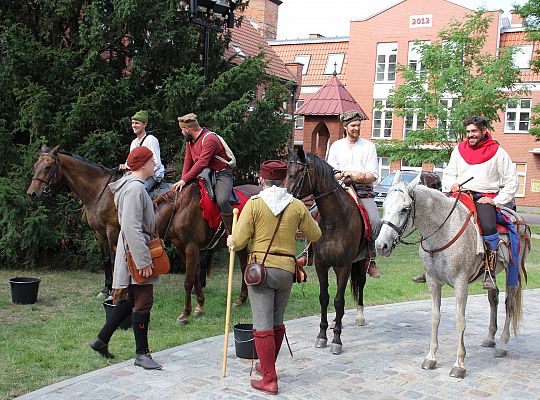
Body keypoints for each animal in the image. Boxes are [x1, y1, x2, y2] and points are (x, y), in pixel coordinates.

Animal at [26, 145, 120, 296]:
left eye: (48, 166)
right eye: (35, 165)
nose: (31, 193)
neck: (101, 191)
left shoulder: (112, 230)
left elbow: (114, 259)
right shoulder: (100, 232)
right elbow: (106, 259)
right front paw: (106, 289)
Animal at [153, 180, 260, 322]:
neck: (179, 210)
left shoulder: (191, 247)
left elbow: (188, 281)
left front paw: (185, 313)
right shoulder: (182, 249)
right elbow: (194, 277)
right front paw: (200, 306)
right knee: (244, 266)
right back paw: (241, 299)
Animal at [286, 148, 372, 354]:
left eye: (297, 173)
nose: (286, 196)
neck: (335, 220)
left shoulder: (344, 265)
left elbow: (339, 300)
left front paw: (337, 340)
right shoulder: (321, 264)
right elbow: (324, 298)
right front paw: (322, 335)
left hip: (360, 261)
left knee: (361, 283)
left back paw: (359, 316)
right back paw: (335, 321)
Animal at [376, 175, 532, 378]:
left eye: (405, 209)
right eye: (385, 205)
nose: (381, 246)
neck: (442, 232)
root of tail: (517, 218)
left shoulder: (461, 284)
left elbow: (460, 321)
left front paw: (459, 364)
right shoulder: (433, 282)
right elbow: (435, 318)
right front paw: (431, 358)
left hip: (513, 271)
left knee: (509, 305)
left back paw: (503, 345)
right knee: (493, 298)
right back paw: (490, 338)